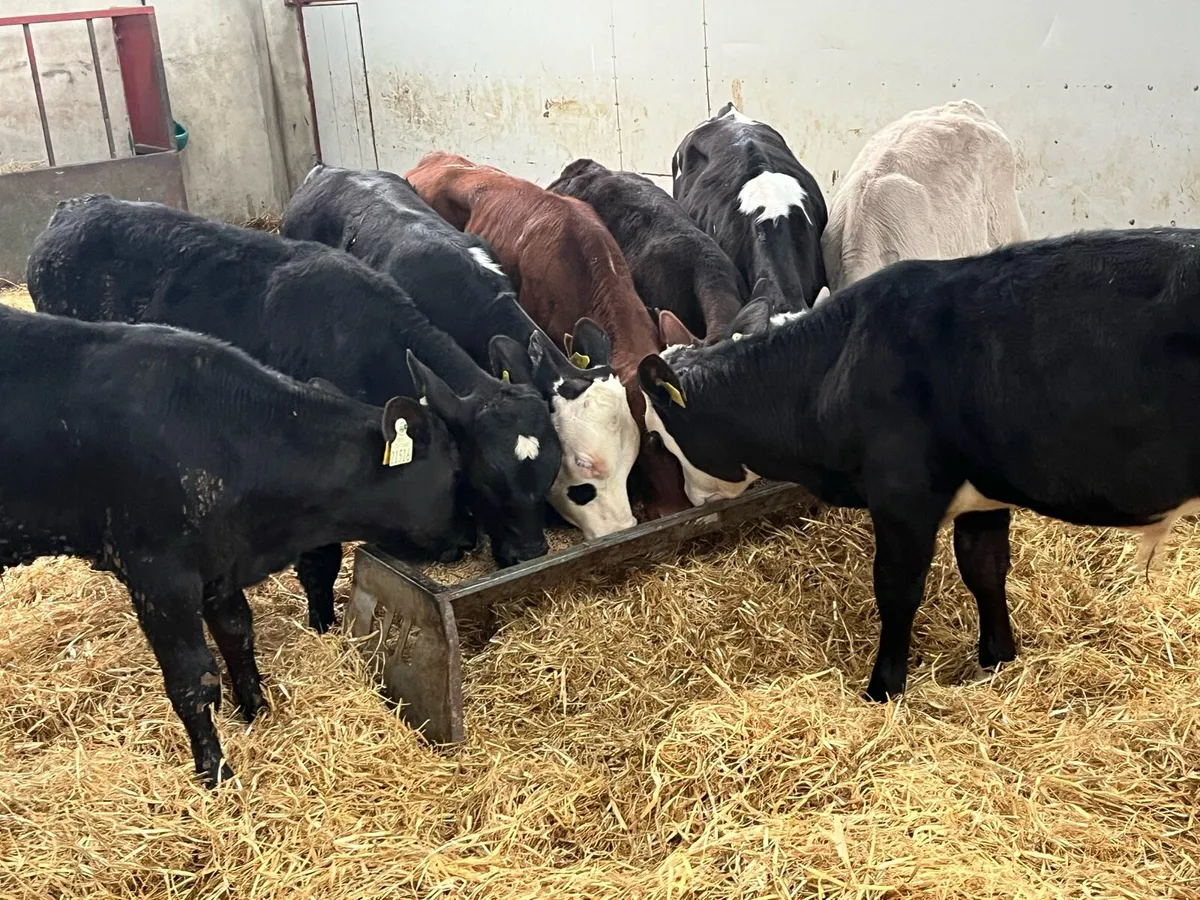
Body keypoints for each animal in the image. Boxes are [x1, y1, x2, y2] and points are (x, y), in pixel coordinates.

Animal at [0, 303, 468, 785]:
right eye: (456, 469)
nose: (468, 539)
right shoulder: (159, 575)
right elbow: (193, 678)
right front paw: (216, 771)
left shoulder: (219, 567)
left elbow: (237, 635)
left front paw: (257, 711)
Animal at [27, 195, 561, 632]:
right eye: (483, 477)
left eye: (551, 472)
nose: (531, 553)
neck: (364, 342)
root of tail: (73, 207)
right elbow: (320, 560)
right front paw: (323, 623)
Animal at [637, 228, 1200, 704]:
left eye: (656, 436)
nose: (690, 502)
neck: (833, 366)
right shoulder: (981, 493)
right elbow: (985, 568)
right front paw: (997, 658)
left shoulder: (901, 495)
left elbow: (897, 588)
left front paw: (883, 688)